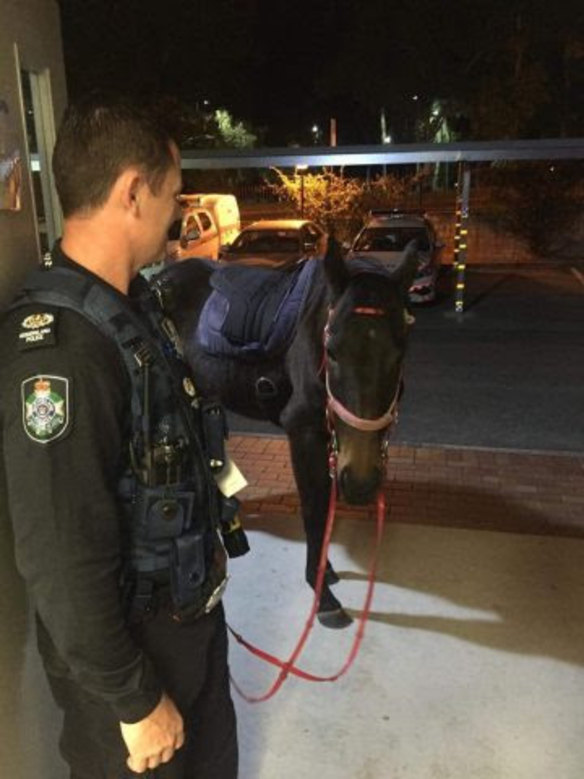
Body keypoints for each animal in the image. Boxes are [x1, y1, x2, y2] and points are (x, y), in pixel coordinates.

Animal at [155, 241, 416, 632]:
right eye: (332, 351)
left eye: (399, 353)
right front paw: (323, 596)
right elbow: (315, 508)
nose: (361, 483)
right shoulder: (304, 432)